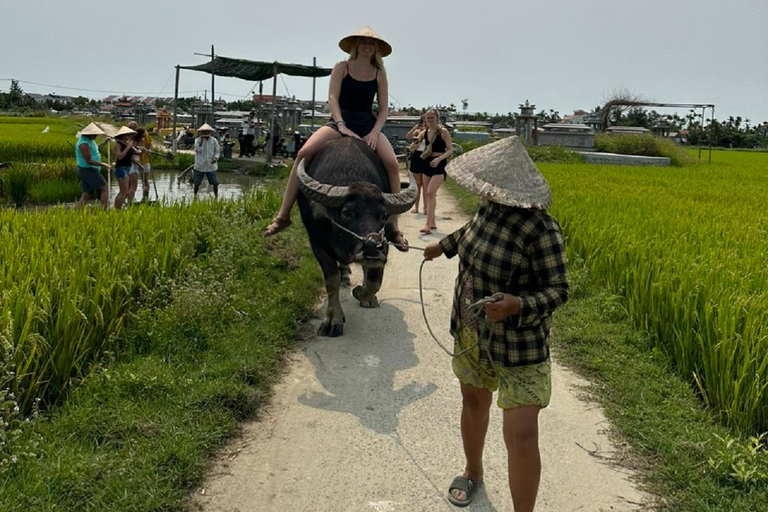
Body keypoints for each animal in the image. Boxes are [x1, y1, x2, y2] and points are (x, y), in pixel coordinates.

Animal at [296, 137, 416, 336]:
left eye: (383, 215)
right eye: (347, 212)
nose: (372, 246)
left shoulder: (383, 248)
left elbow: (374, 281)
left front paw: (361, 293)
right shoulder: (317, 244)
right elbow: (331, 281)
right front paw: (333, 319)